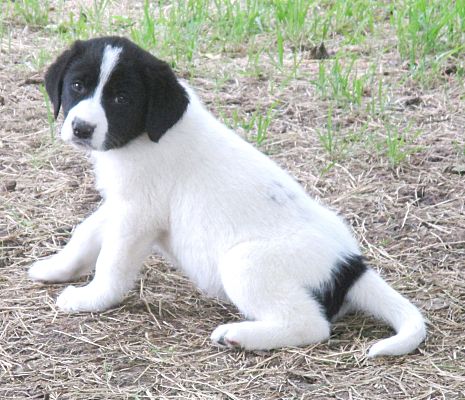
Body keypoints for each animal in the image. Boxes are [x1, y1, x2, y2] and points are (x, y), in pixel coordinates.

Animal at [29, 36, 424, 356]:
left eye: (121, 99)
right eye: (77, 85)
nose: (81, 128)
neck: (146, 135)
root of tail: (349, 265)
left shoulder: (137, 214)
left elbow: (111, 263)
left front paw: (89, 298)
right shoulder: (121, 201)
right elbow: (85, 233)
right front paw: (56, 268)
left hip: (244, 263)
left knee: (311, 325)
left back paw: (239, 335)